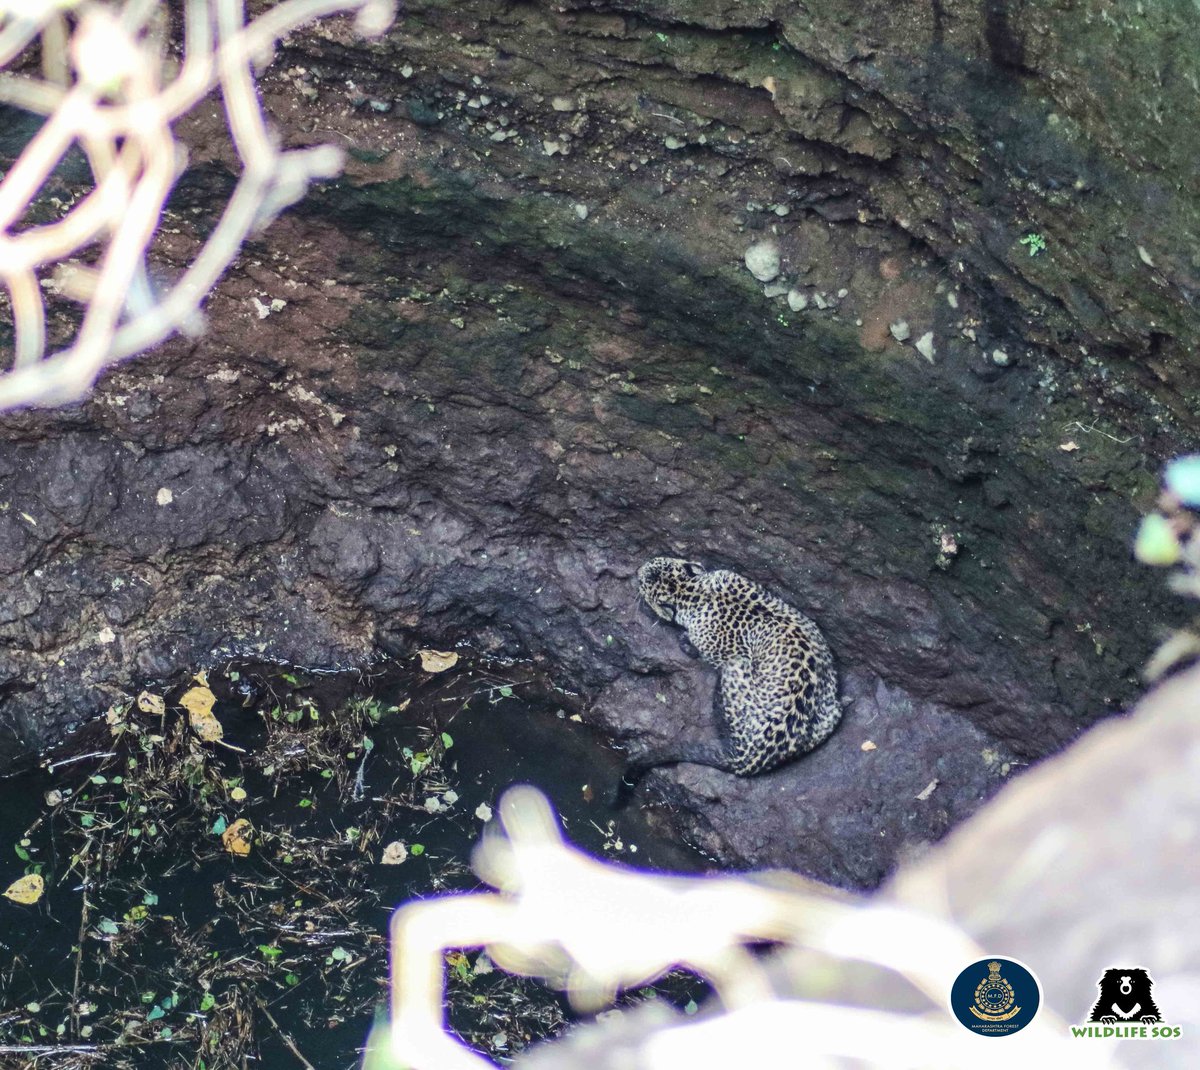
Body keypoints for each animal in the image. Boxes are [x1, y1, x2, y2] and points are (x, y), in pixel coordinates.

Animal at [612, 556, 842, 808]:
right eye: (655, 561)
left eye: (644, 583)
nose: (638, 569)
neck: (695, 592)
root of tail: (746, 759)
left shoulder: (712, 649)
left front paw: (685, 642)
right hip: (832, 713)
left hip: (735, 668)